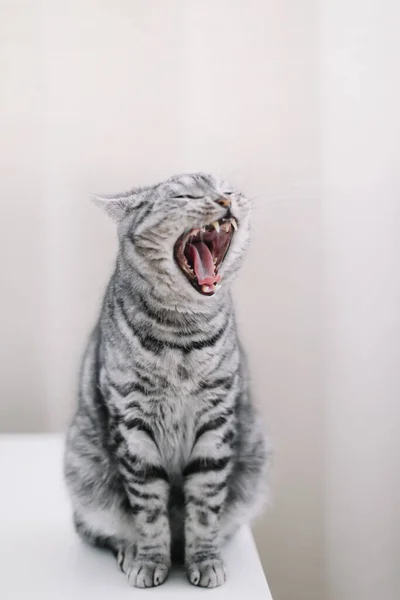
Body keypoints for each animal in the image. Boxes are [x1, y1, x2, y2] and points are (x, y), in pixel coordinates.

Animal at [63, 171, 268, 588]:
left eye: (227, 188)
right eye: (185, 196)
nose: (225, 201)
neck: (182, 336)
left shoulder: (216, 418)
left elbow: (205, 507)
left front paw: (204, 561)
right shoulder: (132, 423)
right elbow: (149, 510)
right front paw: (149, 560)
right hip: (82, 467)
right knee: (104, 528)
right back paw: (130, 550)